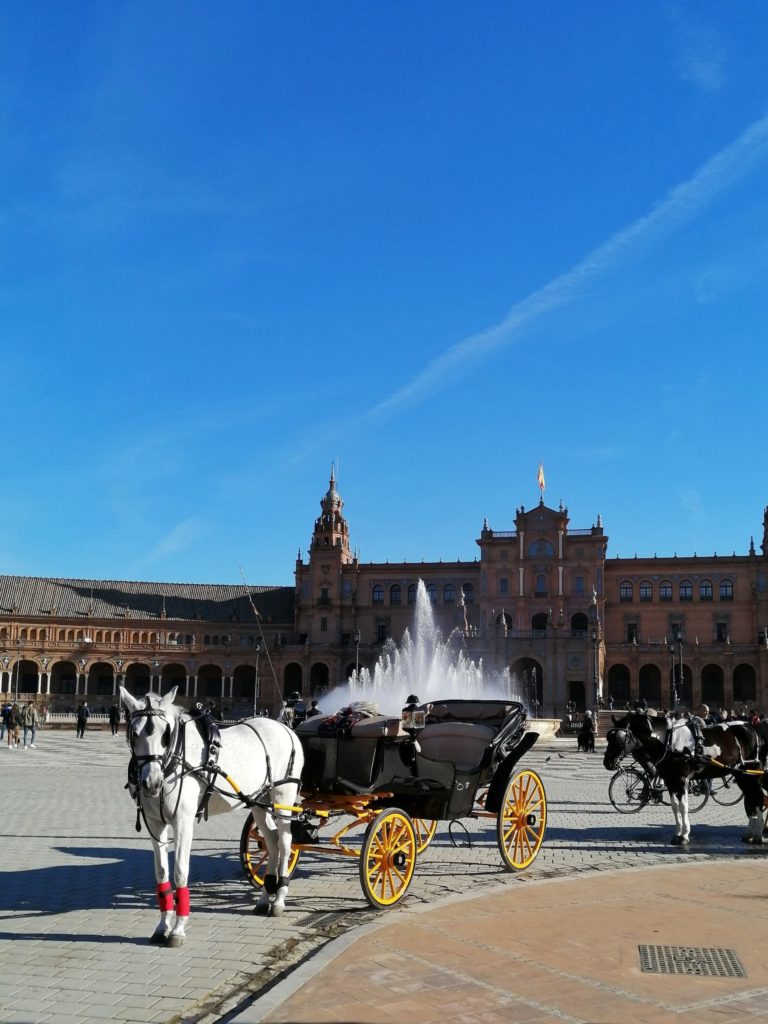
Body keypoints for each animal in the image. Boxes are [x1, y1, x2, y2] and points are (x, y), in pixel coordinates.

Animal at [118, 688, 303, 942]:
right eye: (134, 734)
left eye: (165, 734)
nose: (152, 782)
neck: (173, 760)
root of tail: (285, 728)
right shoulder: (154, 823)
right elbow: (162, 873)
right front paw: (162, 926)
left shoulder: (183, 822)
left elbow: (180, 872)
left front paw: (178, 929)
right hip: (258, 801)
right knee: (272, 842)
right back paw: (265, 897)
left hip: (284, 798)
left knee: (286, 843)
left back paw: (280, 899)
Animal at [606, 712, 768, 847]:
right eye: (608, 737)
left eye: (620, 738)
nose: (607, 762)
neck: (668, 740)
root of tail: (753, 729)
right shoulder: (670, 780)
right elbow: (675, 807)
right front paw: (678, 833)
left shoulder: (680, 780)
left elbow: (683, 807)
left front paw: (684, 835)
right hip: (742, 776)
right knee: (751, 798)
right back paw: (750, 833)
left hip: (753, 775)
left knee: (758, 798)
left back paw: (759, 834)